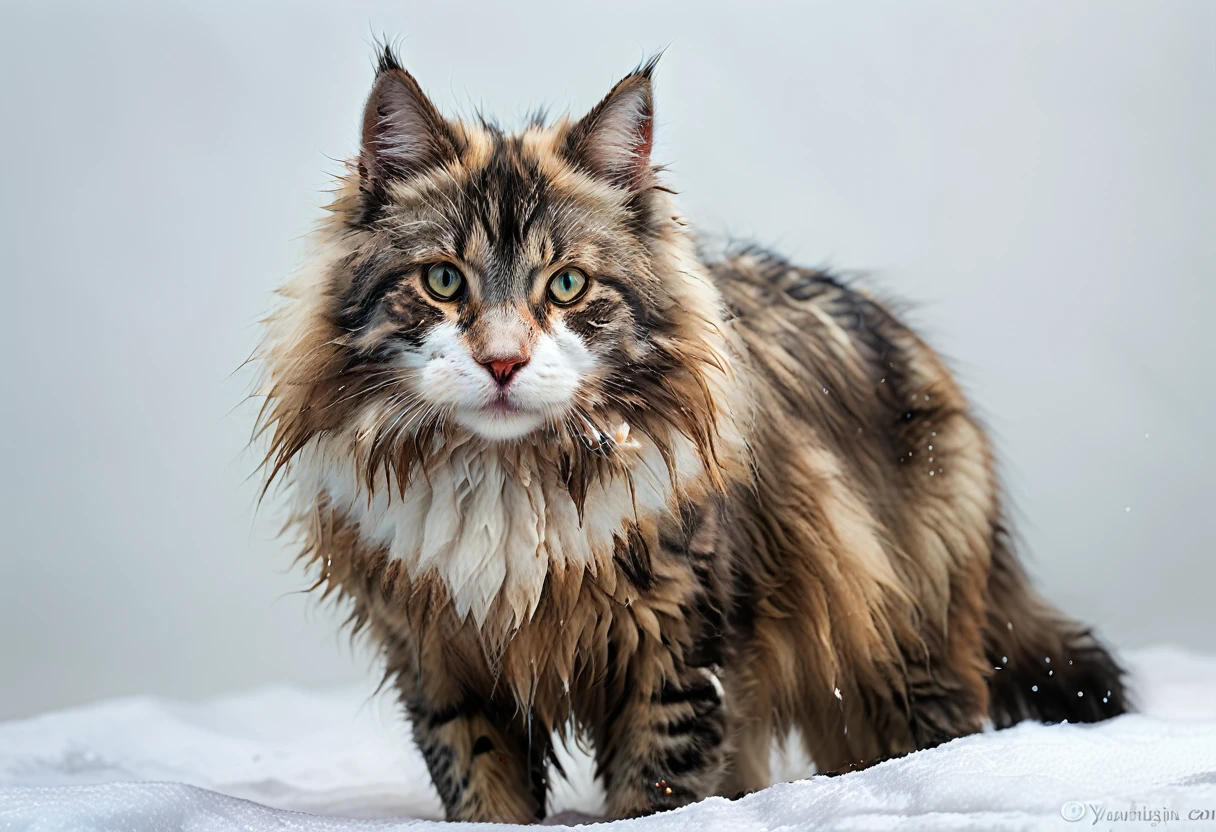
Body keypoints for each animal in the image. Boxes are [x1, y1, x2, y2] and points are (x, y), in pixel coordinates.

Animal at [256, 52, 1128, 827]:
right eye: (442, 281)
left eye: (567, 285)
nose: (502, 361)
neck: (512, 480)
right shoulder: (441, 662)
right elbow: (481, 789)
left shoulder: (680, 649)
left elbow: (656, 792)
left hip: (900, 650)